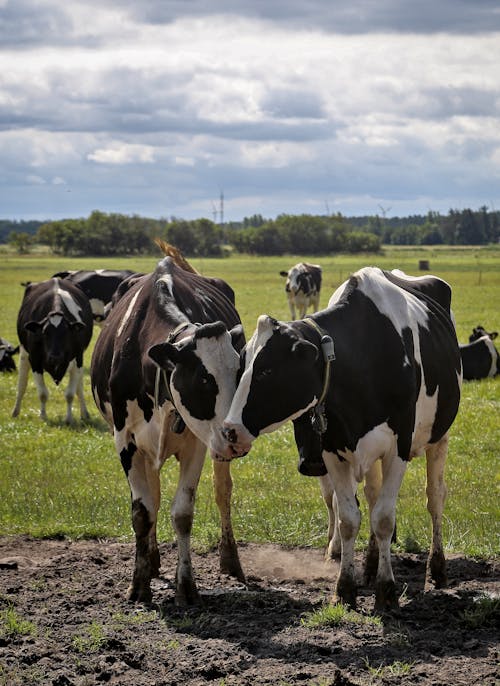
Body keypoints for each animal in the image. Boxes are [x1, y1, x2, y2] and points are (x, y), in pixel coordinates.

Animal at [11, 276, 93, 422]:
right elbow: (42, 393)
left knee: (79, 388)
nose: (55, 357)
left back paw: (84, 413)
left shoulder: (78, 358)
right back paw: (15, 411)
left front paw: (69, 419)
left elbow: (70, 393)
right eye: (44, 333)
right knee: (22, 384)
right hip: (24, 353)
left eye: (67, 333)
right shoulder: (35, 360)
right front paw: (43, 417)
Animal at [91, 254, 246, 608]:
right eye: (203, 378)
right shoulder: (126, 442)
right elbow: (142, 512)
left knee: (222, 491)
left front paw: (186, 586)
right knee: (155, 496)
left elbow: (182, 513)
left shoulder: (198, 444)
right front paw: (139, 585)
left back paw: (230, 559)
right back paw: (151, 559)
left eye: (239, 370)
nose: (235, 435)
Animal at [217, 268, 462, 612]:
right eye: (241, 367)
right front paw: (345, 588)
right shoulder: (333, 451)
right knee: (372, 496)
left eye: (266, 371)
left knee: (435, 497)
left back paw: (436, 570)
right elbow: (350, 518)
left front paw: (387, 591)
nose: (230, 430)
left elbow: (384, 519)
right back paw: (370, 565)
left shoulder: (398, 448)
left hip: (439, 437)